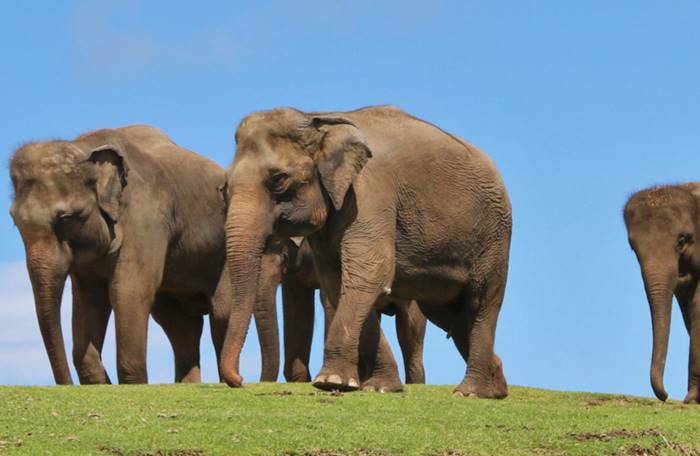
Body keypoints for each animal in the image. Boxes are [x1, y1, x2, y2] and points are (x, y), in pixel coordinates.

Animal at [8, 125, 278, 384]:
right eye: (15, 222)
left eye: (65, 218)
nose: (66, 384)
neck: (85, 146)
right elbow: (90, 299)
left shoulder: (146, 217)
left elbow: (128, 291)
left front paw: (133, 383)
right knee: (179, 325)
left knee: (221, 313)